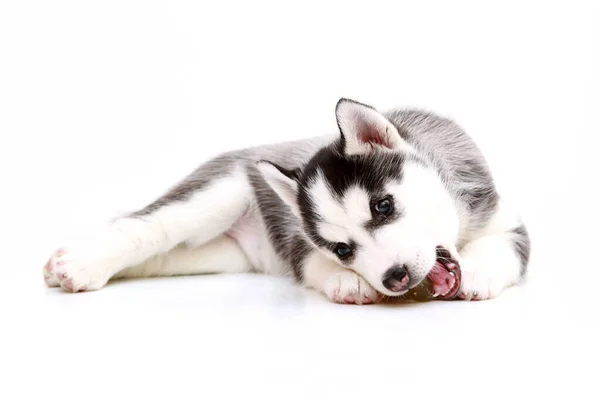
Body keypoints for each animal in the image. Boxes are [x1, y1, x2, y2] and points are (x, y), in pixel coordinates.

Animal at [42, 97, 528, 304]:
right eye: (342, 250)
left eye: (383, 207)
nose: (395, 278)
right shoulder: (299, 244)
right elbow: (310, 264)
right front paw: (348, 281)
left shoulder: (504, 220)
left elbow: (502, 247)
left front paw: (479, 271)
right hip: (219, 194)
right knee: (145, 226)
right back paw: (81, 262)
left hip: (221, 255)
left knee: (161, 255)